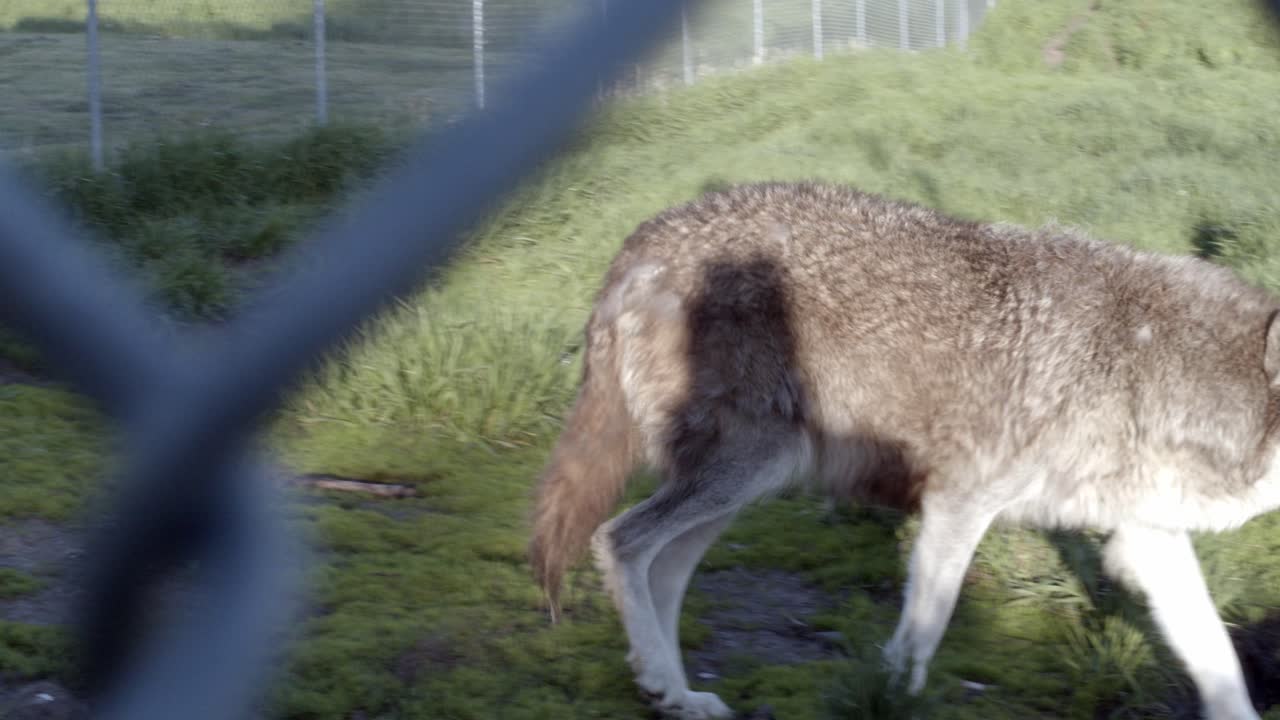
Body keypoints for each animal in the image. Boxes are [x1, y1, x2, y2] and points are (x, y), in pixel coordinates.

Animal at [528, 182, 1278, 720]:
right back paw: (660, 677)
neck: (1156, 372)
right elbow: (925, 629)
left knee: (662, 568)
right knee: (620, 540)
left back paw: (678, 695)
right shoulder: (960, 502)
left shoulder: (1150, 536)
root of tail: (643, 238)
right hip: (743, 472)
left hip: (745, 486)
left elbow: (1216, 655)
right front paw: (889, 693)